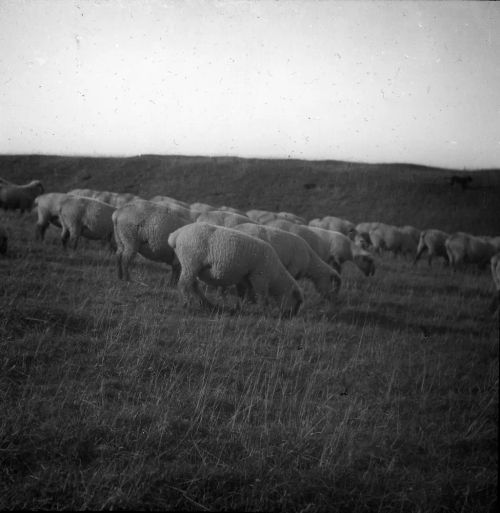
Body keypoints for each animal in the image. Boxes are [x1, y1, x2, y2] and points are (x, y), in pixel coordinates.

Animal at [166, 223, 302, 316]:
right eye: (297, 301)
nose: (290, 317)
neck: (276, 276)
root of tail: (176, 235)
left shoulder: (246, 277)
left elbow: (245, 293)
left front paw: (241, 307)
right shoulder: (260, 276)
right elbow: (262, 296)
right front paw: (263, 311)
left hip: (192, 265)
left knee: (193, 285)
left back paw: (206, 304)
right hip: (191, 262)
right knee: (184, 285)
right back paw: (186, 304)